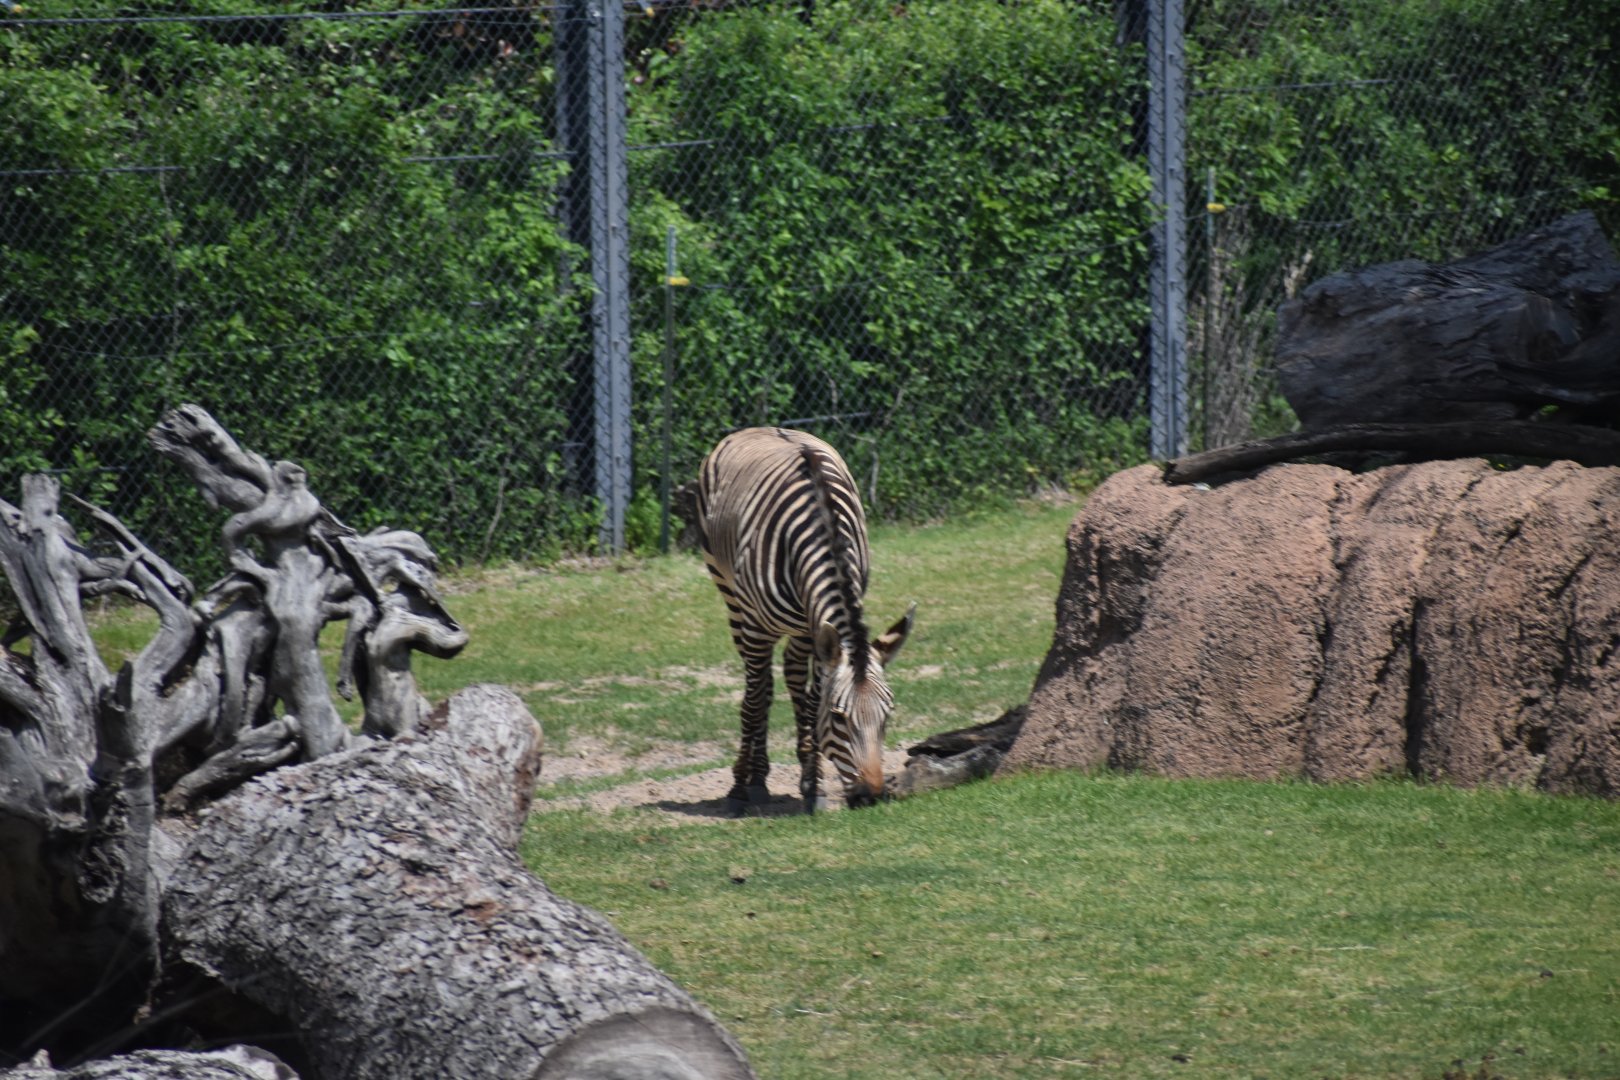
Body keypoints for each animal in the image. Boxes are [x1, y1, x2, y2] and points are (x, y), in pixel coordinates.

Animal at [697, 426, 915, 815]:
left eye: (887, 714)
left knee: (789, 680)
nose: (871, 798)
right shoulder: (757, 626)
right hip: (733, 600)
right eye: (840, 718)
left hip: (798, 630)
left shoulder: (813, 629)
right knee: (760, 687)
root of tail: (758, 428)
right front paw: (737, 790)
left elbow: (811, 702)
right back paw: (753, 780)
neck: (822, 529)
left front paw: (814, 786)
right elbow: (754, 701)